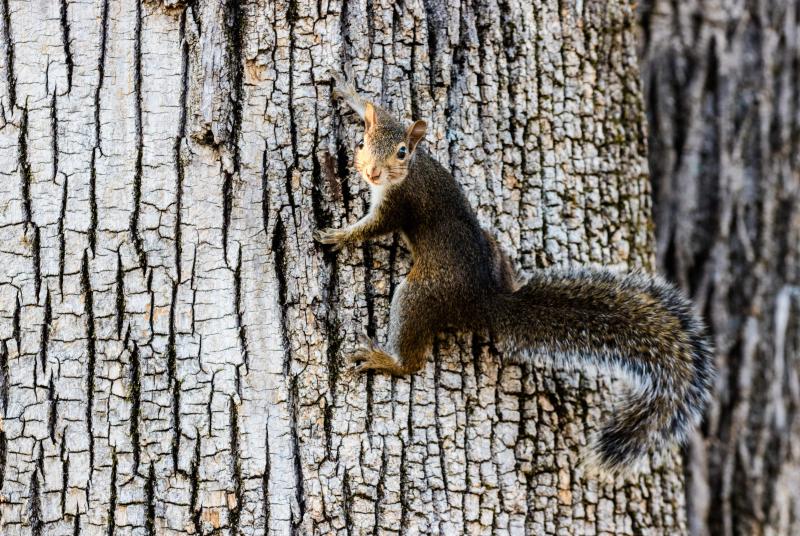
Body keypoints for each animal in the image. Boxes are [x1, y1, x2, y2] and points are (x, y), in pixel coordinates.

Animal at [315, 73, 715, 475]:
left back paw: (384, 359)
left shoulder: (398, 205)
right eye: (363, 141)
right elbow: (381, 108)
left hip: (419, 293)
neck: (413, 167)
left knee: (412, 361)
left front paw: (337, 236)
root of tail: (487, 301)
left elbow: (373, 228)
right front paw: (351, 94)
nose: (371, 172)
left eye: (400, 152)